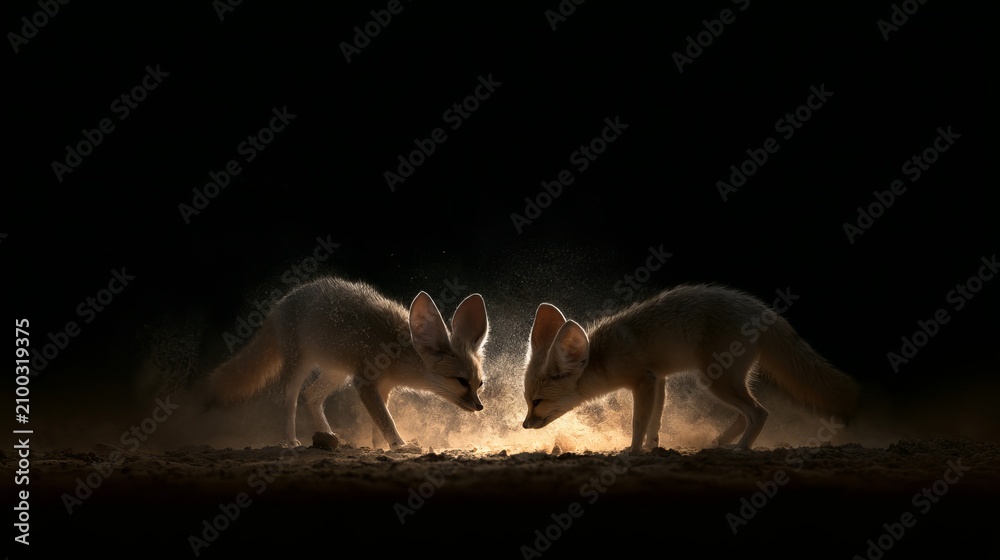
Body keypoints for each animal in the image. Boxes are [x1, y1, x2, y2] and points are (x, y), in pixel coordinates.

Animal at [206, 277, 489, 451]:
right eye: (461, 381)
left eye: (479, 384)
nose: (479, 406)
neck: (397, 350)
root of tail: (282, 302)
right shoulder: (364, 382)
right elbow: (386, 419)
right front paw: (399, 444)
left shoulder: (383, 387)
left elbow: (379, 421)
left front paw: (381, 446)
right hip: (299, 367)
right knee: (289, 401)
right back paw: (291, 441)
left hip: (336, 374)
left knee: (311, 396)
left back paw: (329, 437)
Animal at [521, 283, 859, 453]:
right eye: (527, 401)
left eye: (538, 402)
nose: (524, 425)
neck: (603, 356)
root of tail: (763, 309)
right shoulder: (658, 380)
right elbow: (655, 423)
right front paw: (653, 449)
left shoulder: (644, 381)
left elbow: (639, 423)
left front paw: (632, 451)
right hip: (726, 381)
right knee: (747, 413)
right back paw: (721, 442)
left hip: (714, 381)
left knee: (760, 413)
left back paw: (740, 449)